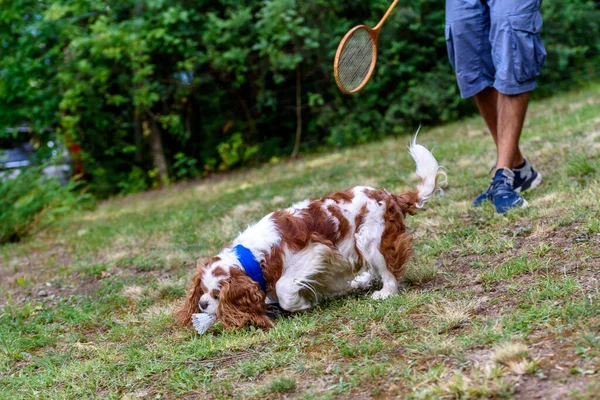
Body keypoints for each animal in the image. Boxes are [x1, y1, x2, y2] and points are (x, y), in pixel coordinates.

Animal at [176, 136, 442, 330]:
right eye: (202, 290)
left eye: (217, 294)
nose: (202, 303)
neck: (254, 255)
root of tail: (389, 195)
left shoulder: (315, 252)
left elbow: (284, 289)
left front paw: (301, 303)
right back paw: (362, 280)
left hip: (370, 238)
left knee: (388, 269)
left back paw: (385, 291)